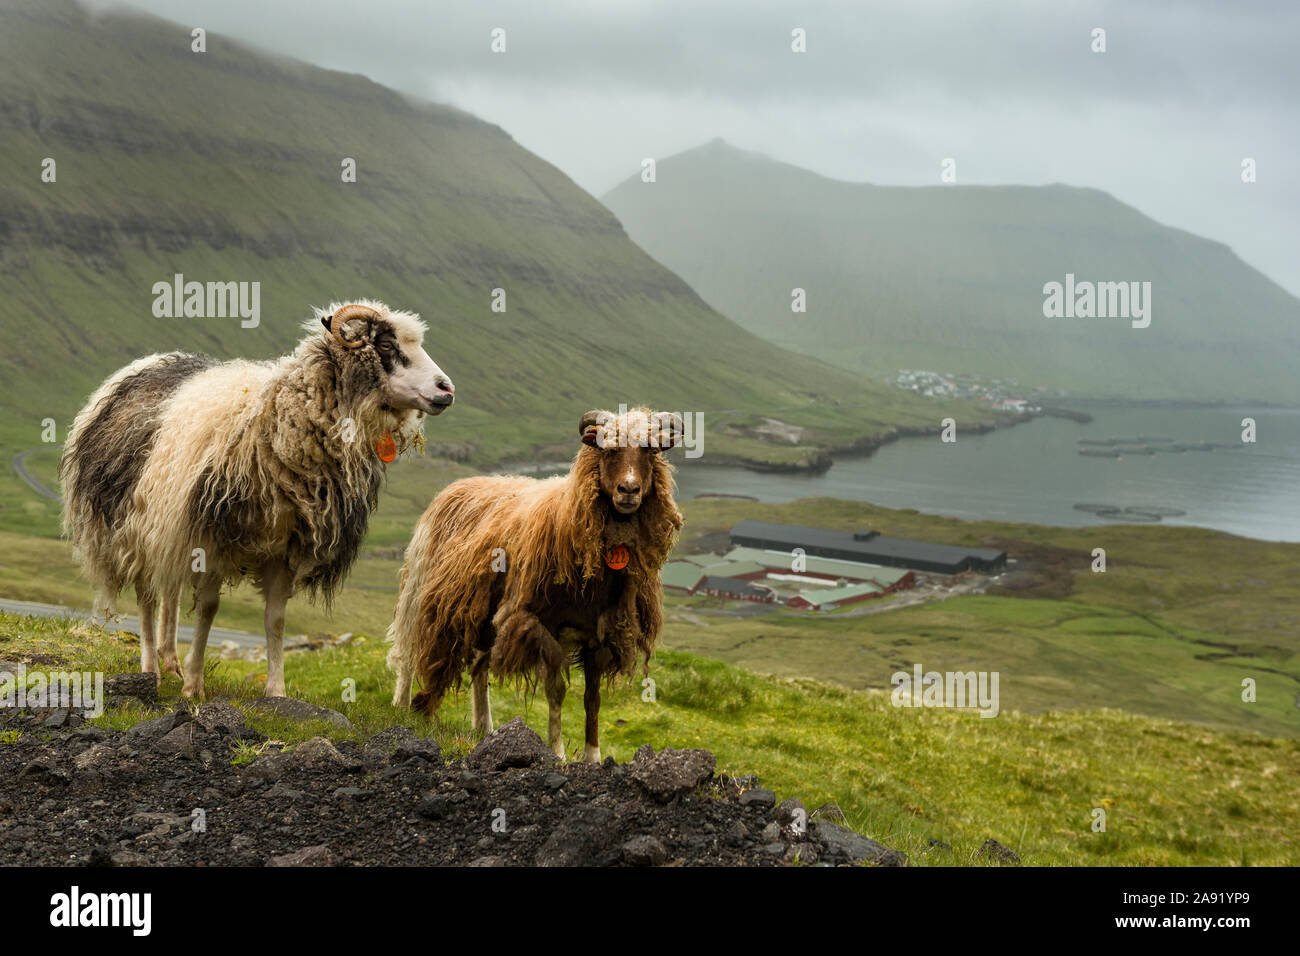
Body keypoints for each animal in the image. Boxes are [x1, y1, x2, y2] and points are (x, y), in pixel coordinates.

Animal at [60, 300, 454, 699]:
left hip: (166, 526)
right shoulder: (210, 538)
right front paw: (194, 684)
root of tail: (148, 363)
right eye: (387, 345)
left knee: (169, 591)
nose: (447, 389)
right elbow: (208, 608)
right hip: (135, 524)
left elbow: (276, 620)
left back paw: (169, 660)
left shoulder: (284, 548)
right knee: (147, 596)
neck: (277, 422)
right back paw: (151, 669)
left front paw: (276, 690)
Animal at [387, 407, 684, 762]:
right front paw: (557, 752)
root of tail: (457, 486)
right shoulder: (539, 624)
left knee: (478, 667)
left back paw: (484, 726)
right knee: (408, 650)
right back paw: (403, 706)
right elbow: (556, 691)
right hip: (422, 589)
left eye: (651, 451)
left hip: (484, 614)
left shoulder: (599, 633)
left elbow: (593, 699)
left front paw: (593, 756)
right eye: (607, 449)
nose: (629, 490)